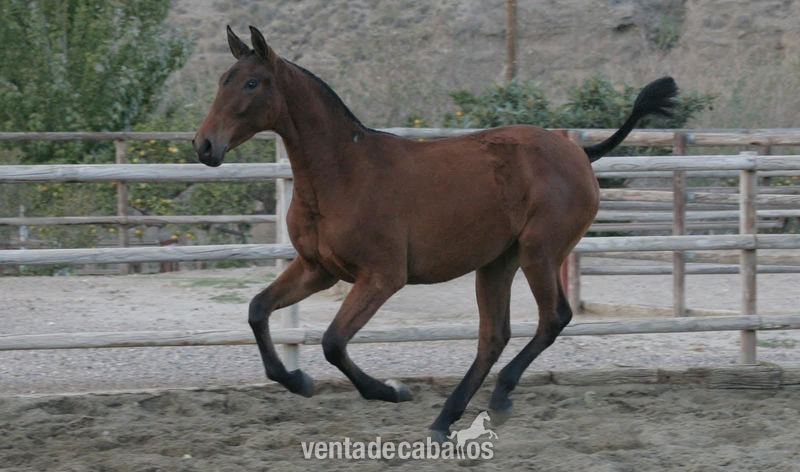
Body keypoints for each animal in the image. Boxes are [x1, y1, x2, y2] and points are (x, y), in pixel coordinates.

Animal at [193, 25, 677, 441]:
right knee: (493, 336)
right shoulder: (318, 269)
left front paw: (391, 390)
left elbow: (333, 342)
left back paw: (498, 397)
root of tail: (578, 151)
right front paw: (298, 380)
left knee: (552, 318)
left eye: (252, 83)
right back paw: (446, 419)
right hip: (497, 262)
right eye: (221, 80)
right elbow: (258, 310)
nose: (205, 145)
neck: (343, 173)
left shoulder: (382, 277)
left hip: (539, 252)